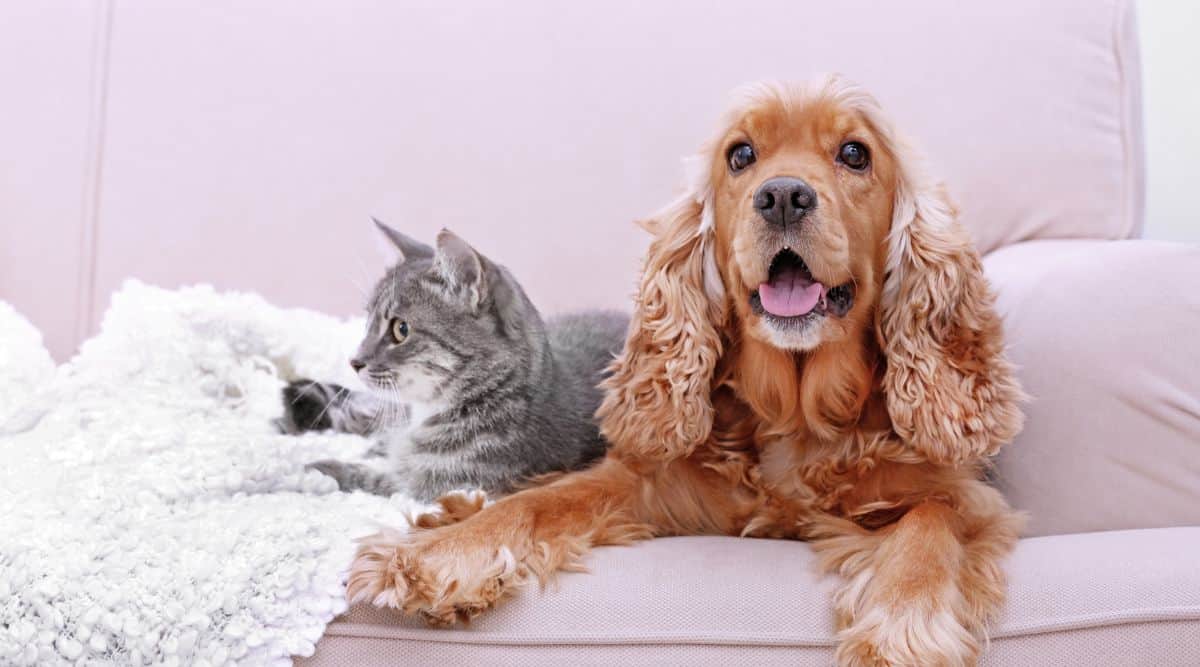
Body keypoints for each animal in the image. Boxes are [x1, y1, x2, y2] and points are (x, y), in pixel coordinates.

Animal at [278, 221, 628, 503]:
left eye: (400, 329)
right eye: (367, 323)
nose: (355, 361)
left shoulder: (436, 488)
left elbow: (369, 479)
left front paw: (310, 472)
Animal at [345, 77, 1022, 667]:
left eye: (855, 153)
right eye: (741, 154)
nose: (782, 196)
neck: (797, 414)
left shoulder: (970, 497)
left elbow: (930, 523)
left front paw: (903, 628)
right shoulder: (652, 486)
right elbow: (541, 501)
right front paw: (434, 557)